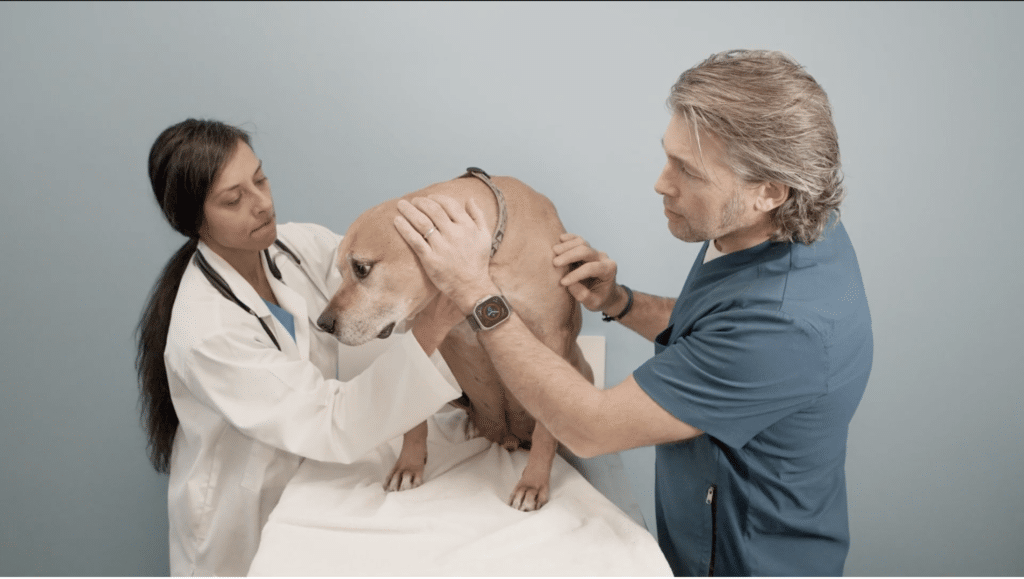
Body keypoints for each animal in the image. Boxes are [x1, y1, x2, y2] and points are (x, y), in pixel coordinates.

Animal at [317, 168, 593, 510]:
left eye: (361, 268)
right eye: (340, 271)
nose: (323, 323)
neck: (489, 252)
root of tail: (508, 438)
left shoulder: (552, 338)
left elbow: (545, 430)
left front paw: (533, 483)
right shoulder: (421, 334)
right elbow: (412, 407)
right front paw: (408, 464)